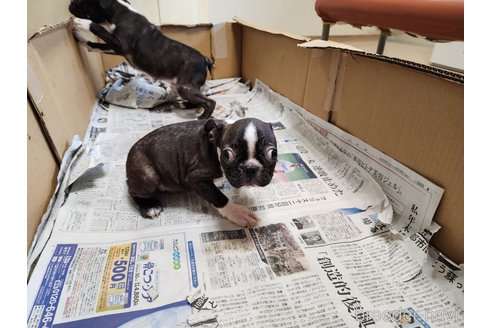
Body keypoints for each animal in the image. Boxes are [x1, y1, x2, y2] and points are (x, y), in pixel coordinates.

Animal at [68, 0, 216, 120]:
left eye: (81, 1)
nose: (70, 3)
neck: (120, 12)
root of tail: (205, 59)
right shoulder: (114, 48)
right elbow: (95, 45)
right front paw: (80, 38)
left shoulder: (119, 44)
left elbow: (97, 28)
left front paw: (81, 23)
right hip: (183, 86)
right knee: (201, 98)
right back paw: (186, 105)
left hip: (185, 87)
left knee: (210, 102)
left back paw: (202, 118)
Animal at [125, 118, 278, 228]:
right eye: (227, 154)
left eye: (273, 153)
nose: (250, 168)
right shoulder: (194, 178)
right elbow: (218, 197)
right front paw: (237, 212)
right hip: (149, 176)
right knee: (132, 190)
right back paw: (149, 206)